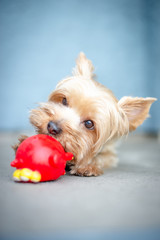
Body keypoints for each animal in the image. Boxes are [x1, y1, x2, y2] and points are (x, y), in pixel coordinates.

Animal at [13, 52, 156, 176]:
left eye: (89, 124)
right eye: (64, 100)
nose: (52, 127)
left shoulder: (110, 155)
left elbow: (101, 158)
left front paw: (88, 165)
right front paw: (25, 141)